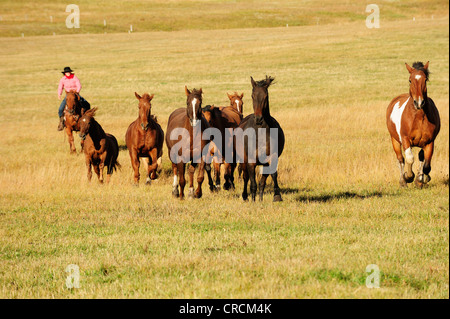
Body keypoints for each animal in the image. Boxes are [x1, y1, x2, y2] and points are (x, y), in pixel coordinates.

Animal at [384, 61, 442, 189]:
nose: (419, 102)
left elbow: (426, 165)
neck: (419, 117)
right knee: (401, 159)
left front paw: (421, 179)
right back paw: (403, 181)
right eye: (410, 80)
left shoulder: (430, 142)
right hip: (394, 140)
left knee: (421, 157)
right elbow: (409, 158)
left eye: (425, 79)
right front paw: (409, 176)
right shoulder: (405, 139)